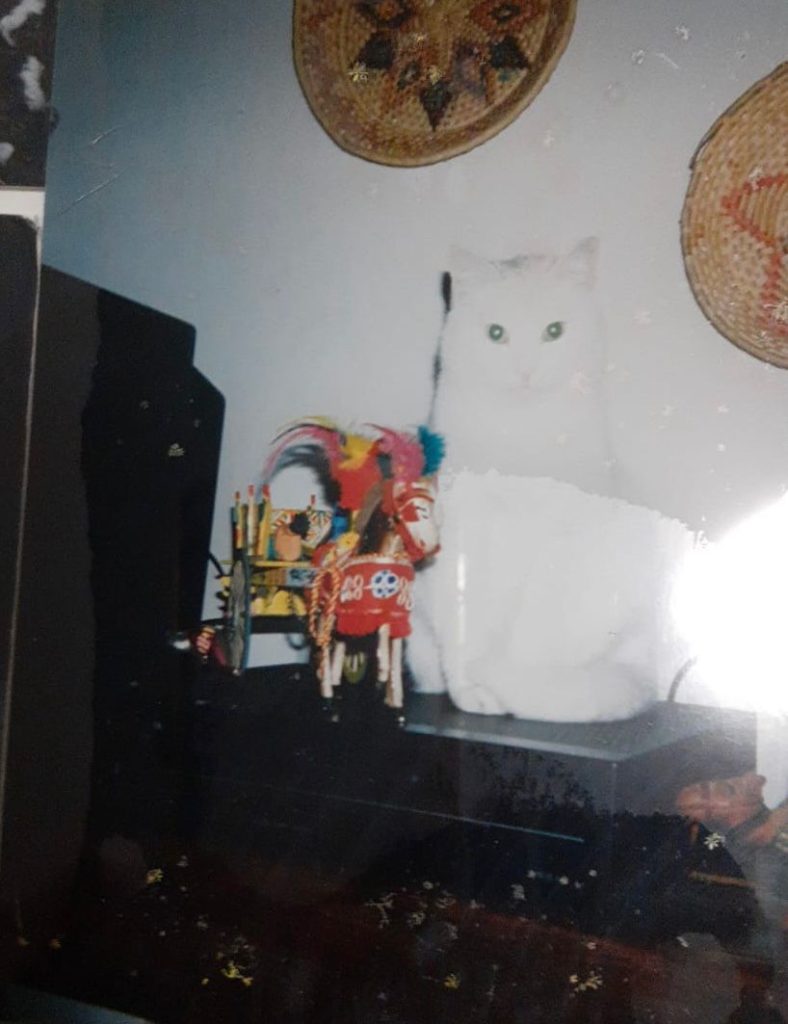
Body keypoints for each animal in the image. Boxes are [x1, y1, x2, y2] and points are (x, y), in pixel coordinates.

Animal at [407, 240, 696, 723]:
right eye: (496, 333)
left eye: (555, 331)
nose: (526, 371)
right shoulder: (461, 547)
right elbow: (464, 631)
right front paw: (471, 693)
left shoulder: (557, 551)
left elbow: (530, 636)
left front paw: (511, 688)